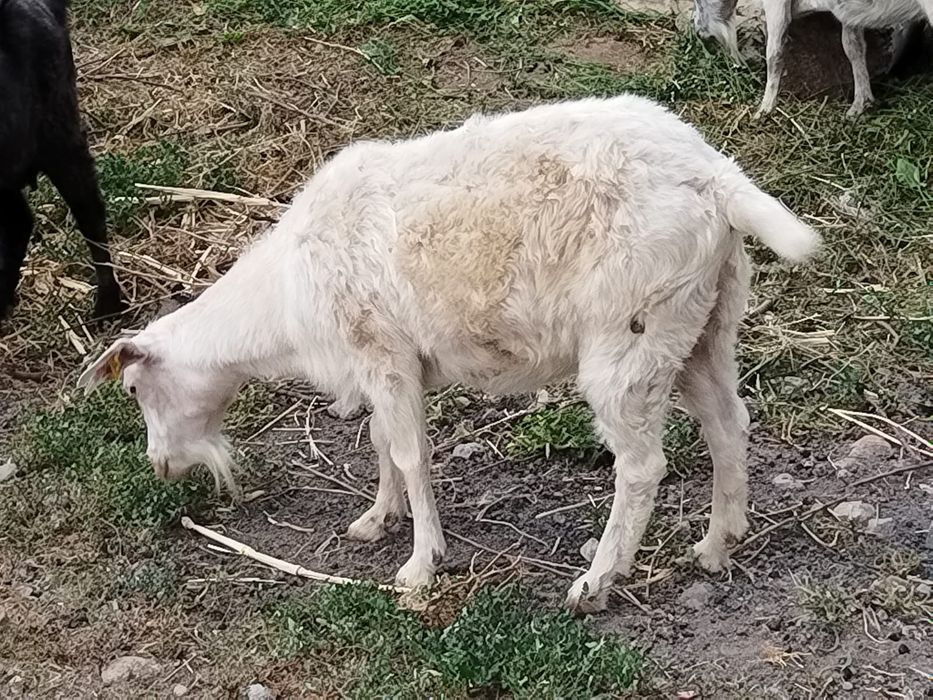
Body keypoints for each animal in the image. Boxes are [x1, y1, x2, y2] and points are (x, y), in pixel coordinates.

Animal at [78, 95, 819, 611]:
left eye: (134, 389)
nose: (160, 465)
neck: (286, 296)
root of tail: (716, 180)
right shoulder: (386, 364)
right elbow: (383, 442)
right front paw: (376, 519)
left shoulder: (382, 352)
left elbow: (409, 453)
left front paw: (419, 565)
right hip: (702, 322)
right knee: (727, 423)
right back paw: (717, 544)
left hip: (631, 333)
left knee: (641, 467)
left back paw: (596, 583)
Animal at [694, 0, 931, 117]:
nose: (698, 30)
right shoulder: (848, 15)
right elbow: (853, 47)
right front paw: (860, 105)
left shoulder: (775, 3)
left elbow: (774, 52)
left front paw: (763, 110)